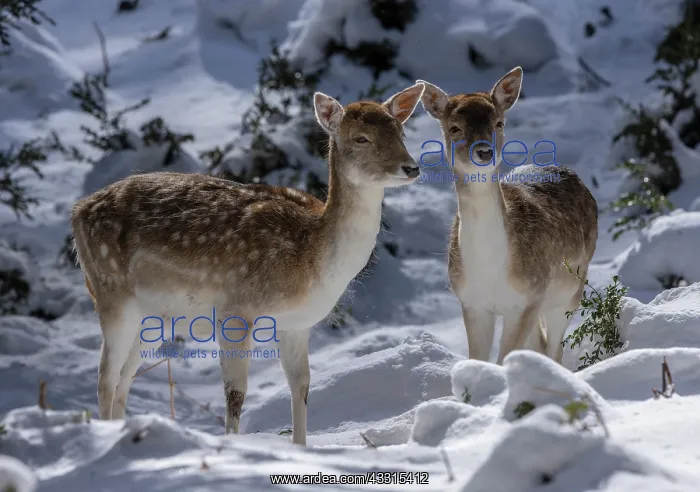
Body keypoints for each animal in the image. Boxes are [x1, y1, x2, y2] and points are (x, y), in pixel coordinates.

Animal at [70, 82, 426, 446]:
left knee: (124, 378)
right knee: (105, 377)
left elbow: (302, 385)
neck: (312, 259)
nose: (411, 167)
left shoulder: (296, 324)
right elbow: (236, 393)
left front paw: (301, 447)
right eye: (361, 138)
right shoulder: (235, 310)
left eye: (400, 132)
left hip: (152, 317)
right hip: (111, 291)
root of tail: (78, 210)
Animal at [416, 67, 598, 365]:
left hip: (570, 288)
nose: (484, 152)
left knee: (554, 347)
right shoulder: (471, 301)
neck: (492, 269)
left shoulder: (527, 297)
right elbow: (478, 358)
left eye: (499, 123)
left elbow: (504, 359)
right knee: (541, 343)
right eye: (455, 128)